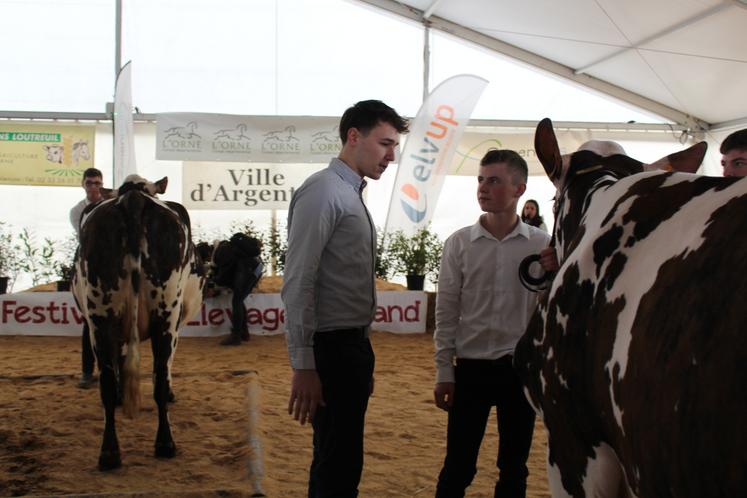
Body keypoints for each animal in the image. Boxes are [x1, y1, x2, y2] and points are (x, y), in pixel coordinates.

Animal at [72, 174, 205, 470]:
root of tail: (133, 197)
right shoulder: (176, 322)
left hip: (101, 317)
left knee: (107, 382)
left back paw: (110, 452)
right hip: (165, 313)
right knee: (159, 378)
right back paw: (164, 444)